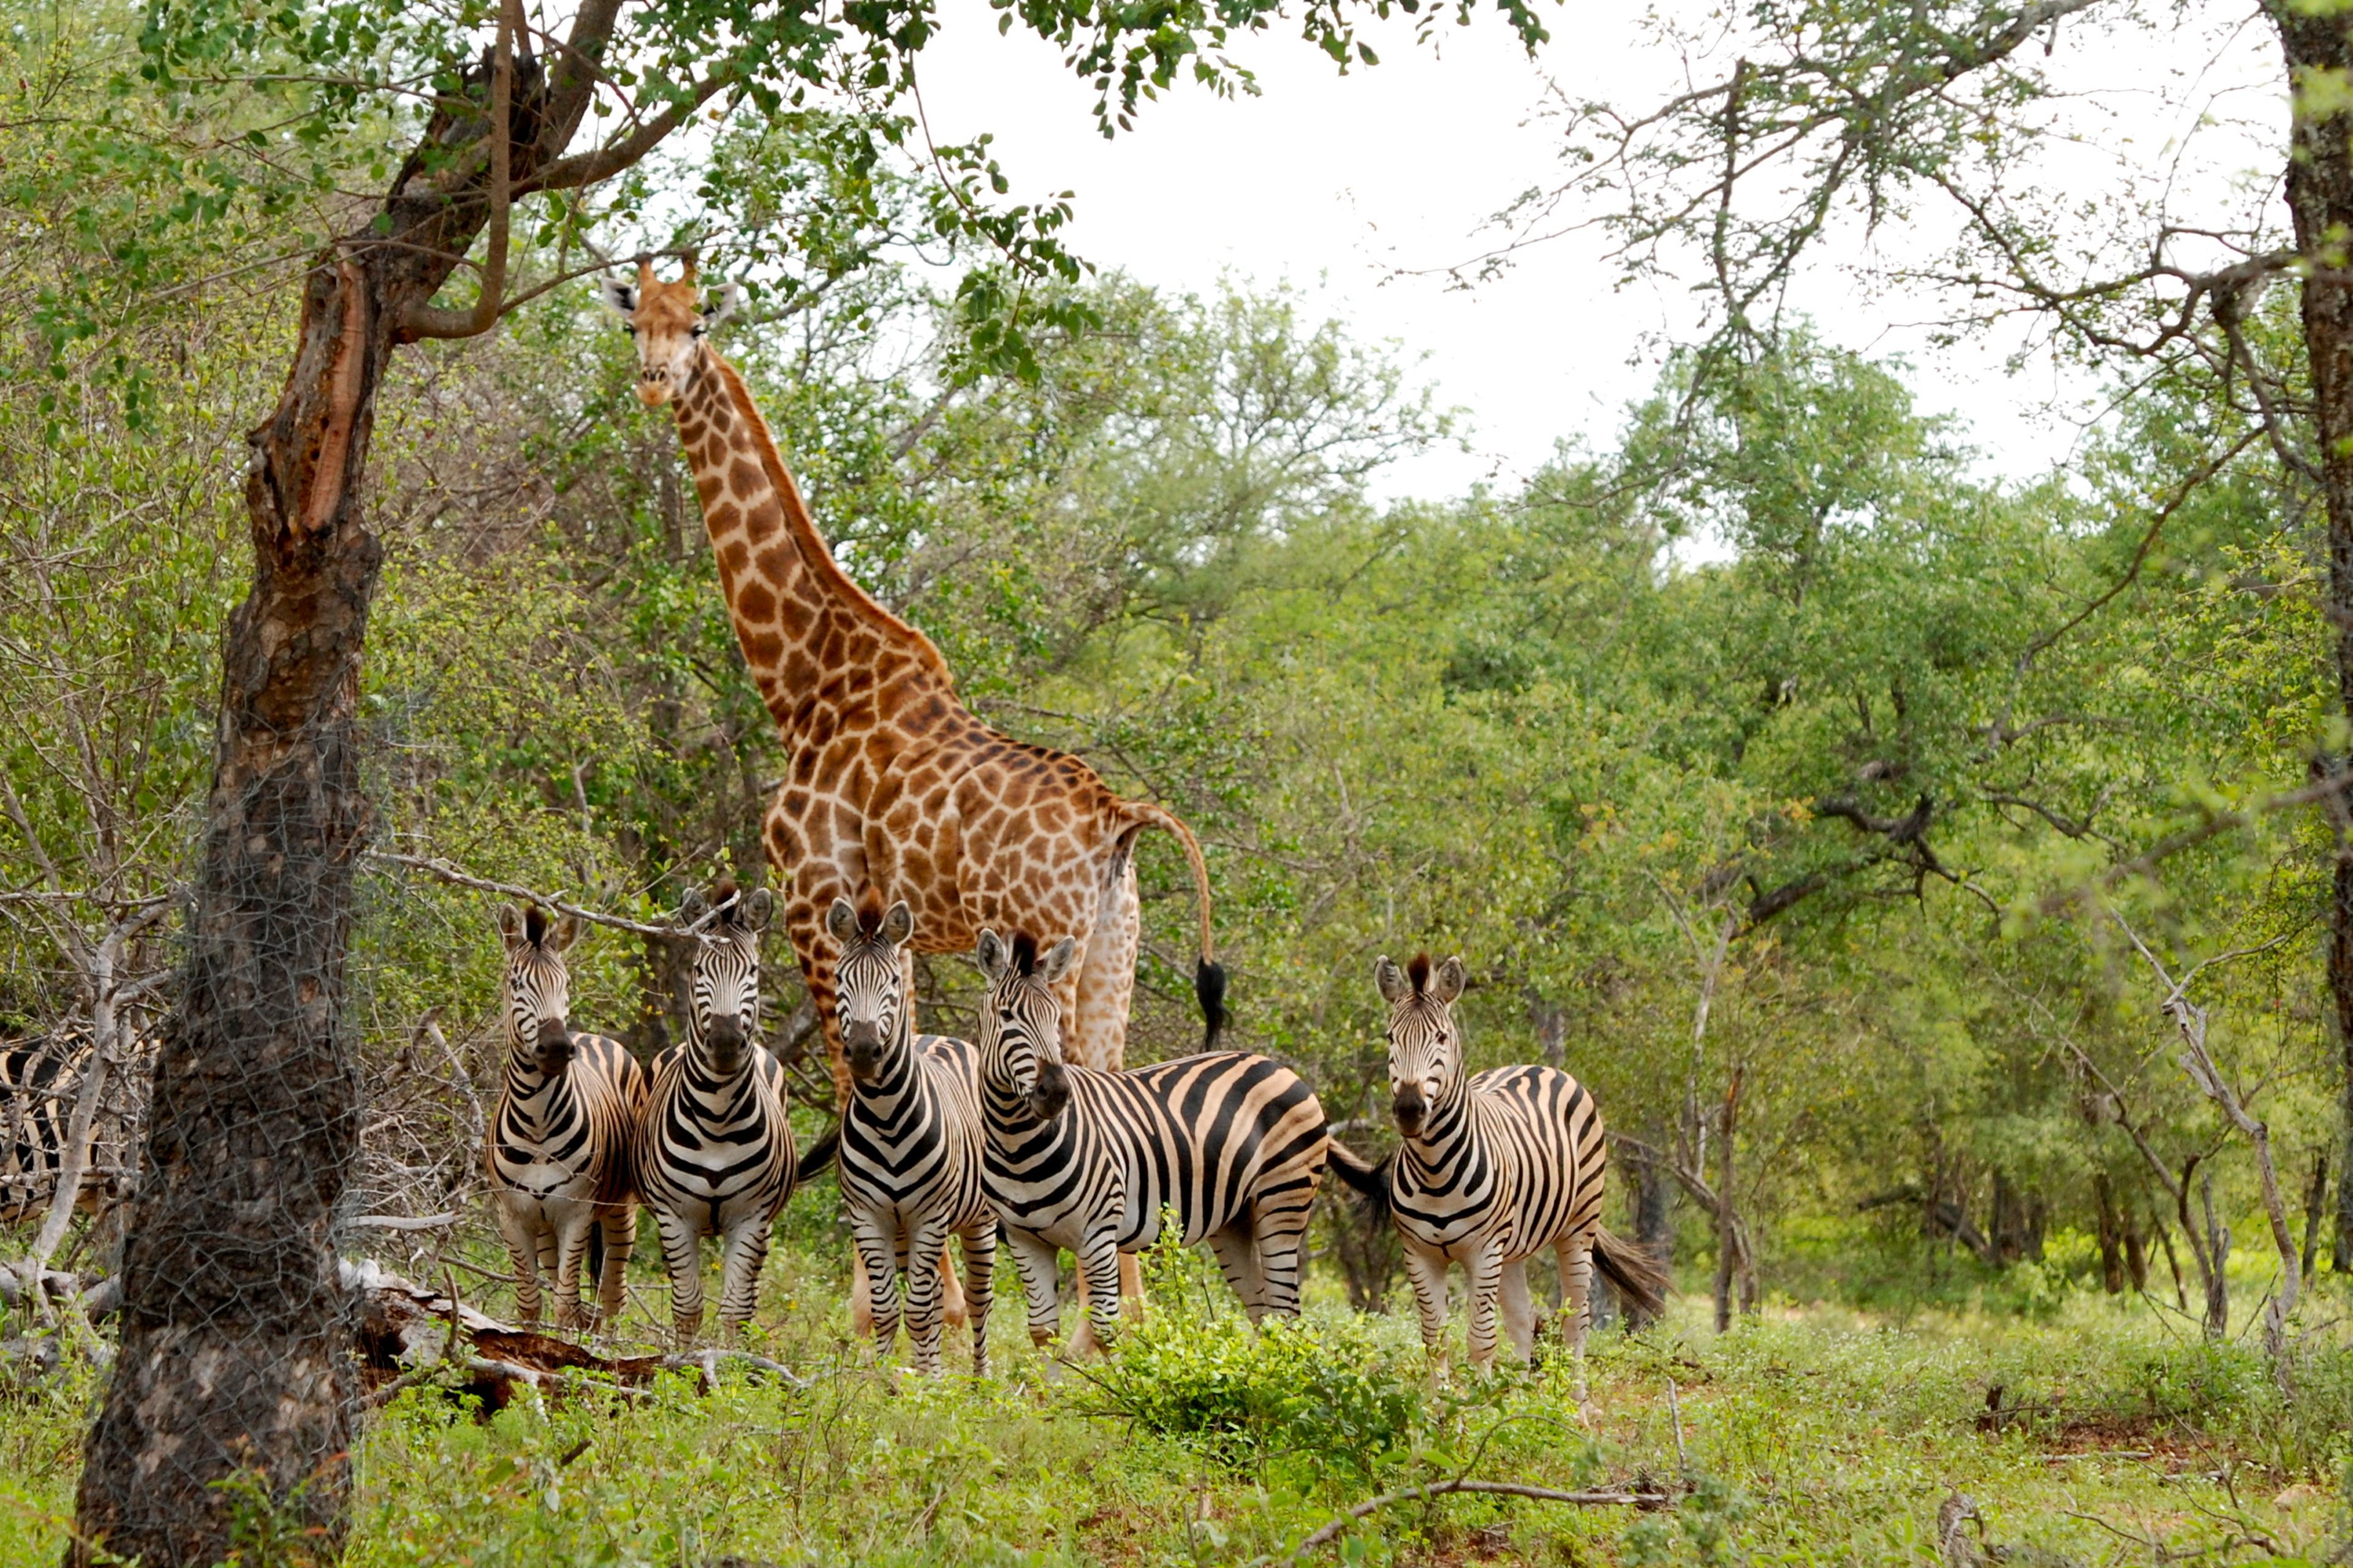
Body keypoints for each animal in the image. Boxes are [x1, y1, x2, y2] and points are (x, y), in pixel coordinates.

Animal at [484, 903, 648, 1331]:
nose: (557, 1047)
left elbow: (565, 1304)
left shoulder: (577, 1212)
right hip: (545, 1225)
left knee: (614, 1296)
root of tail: (594, 1036)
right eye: (516, 983)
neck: (538, 1123)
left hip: (621, 1211)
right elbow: (529, 1303)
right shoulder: (512, 1216)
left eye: (566, 982)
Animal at [637, 878, 799, 1340]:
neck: (717, 1117)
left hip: (765, 1224)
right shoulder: (673, 1216)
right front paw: (685, 1357)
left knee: (751, 1294)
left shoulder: (750, 1216)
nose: (726, 1042)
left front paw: (731, 1360)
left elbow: (734, 1309)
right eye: (698, 971)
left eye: (753, 972)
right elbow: (688, 1307)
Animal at [826, 895, 996, 1374]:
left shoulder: (930, 1215)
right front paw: (886, 1382)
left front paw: (927, 1382)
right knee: (936, 1292)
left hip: (978, 1220)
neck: (886, 1118)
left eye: (893, 981)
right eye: (839, 978)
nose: (865, 1052)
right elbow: (886, 1307)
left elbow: (919, 1309)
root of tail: (939, 1036)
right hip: (903, 1229)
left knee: (978, 1299)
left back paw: (978, 1378)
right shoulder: (869, 1216)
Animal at [974, 927, 1331, 1355]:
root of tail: (1275, 1065)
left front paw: (1120, 1376)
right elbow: (1044, 1334)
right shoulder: (1025, 1239)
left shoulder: (1099, 1234)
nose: (1057, 1093)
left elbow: (1105, 1331)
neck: (1017, 1145)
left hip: (1283, 1201)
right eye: (1006, 1016)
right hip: (1235, 1221)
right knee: (1267, 1316)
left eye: (1056, 1017)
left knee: (1288, 1314)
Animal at [1330, 953, 1668, 1386]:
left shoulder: (1484, 1250)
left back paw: (1575, 1404)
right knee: (1523, 1321)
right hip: (1514, 1246)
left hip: (1578, 1227)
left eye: (1442, 1038)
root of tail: (1538, 1067)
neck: (1435, 1171)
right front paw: (1448, 1407)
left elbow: (1481, 1341)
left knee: (1577, 1323)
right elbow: (1435, 1341)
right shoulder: (1419, 1254)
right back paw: (1520, 1400)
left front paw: (1479, 1404)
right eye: (1391, 1038)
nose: (1409, 1110)